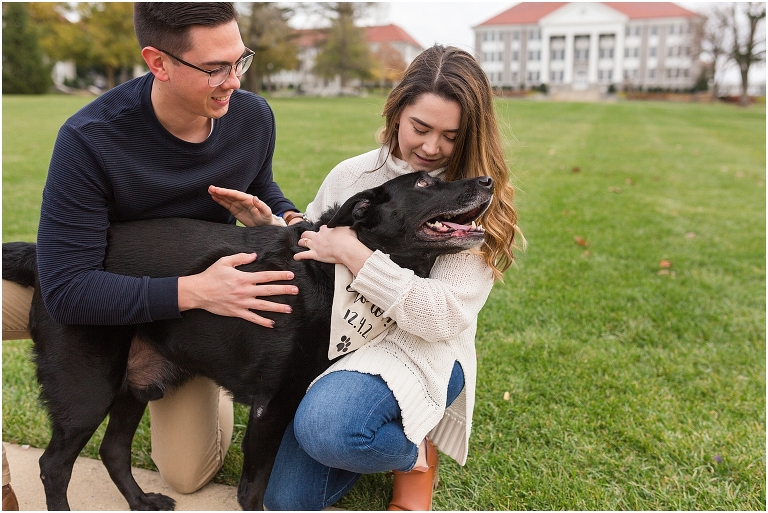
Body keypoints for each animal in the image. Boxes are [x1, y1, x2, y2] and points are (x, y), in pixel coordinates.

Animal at [1, 171, 492, 508]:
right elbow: (253, 492)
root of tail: (46, 259)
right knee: (54, 466)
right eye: (426, 183)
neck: (334, 275)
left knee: (113, 450)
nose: (488, 179)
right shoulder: (270, 406)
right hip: (88, 387)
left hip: (137, 382)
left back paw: (141, 502)